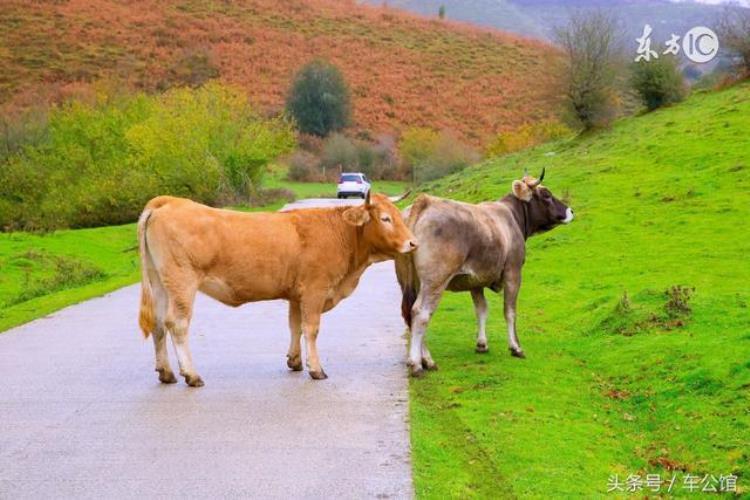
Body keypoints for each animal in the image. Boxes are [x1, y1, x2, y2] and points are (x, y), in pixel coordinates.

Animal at [137, 189, 418, 384]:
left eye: (400, 216)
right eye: (385, 218)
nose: (413, 243)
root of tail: (169, 201)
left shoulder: (297, 293)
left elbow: (295, 326)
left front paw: (295, 361)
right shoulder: (315, 290)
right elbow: (311, 329)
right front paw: (316, 369)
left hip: (160, 283)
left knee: (159, 324)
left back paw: (166, 373)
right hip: (182, 282)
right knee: (177, 324)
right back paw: (191, 375)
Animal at [396, 170, 572, 376]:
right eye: (546, 194)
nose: (570, 211)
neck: (511, 217)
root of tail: (425, 201)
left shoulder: (475, 280)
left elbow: (481, 309)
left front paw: (482, 344)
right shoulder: (513, 272)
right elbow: (510, 311)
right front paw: (516, 347)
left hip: (410, 281)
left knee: (410, 313)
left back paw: (425, 359)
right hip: (435, 280)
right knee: (421, 313)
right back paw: (418, 363)